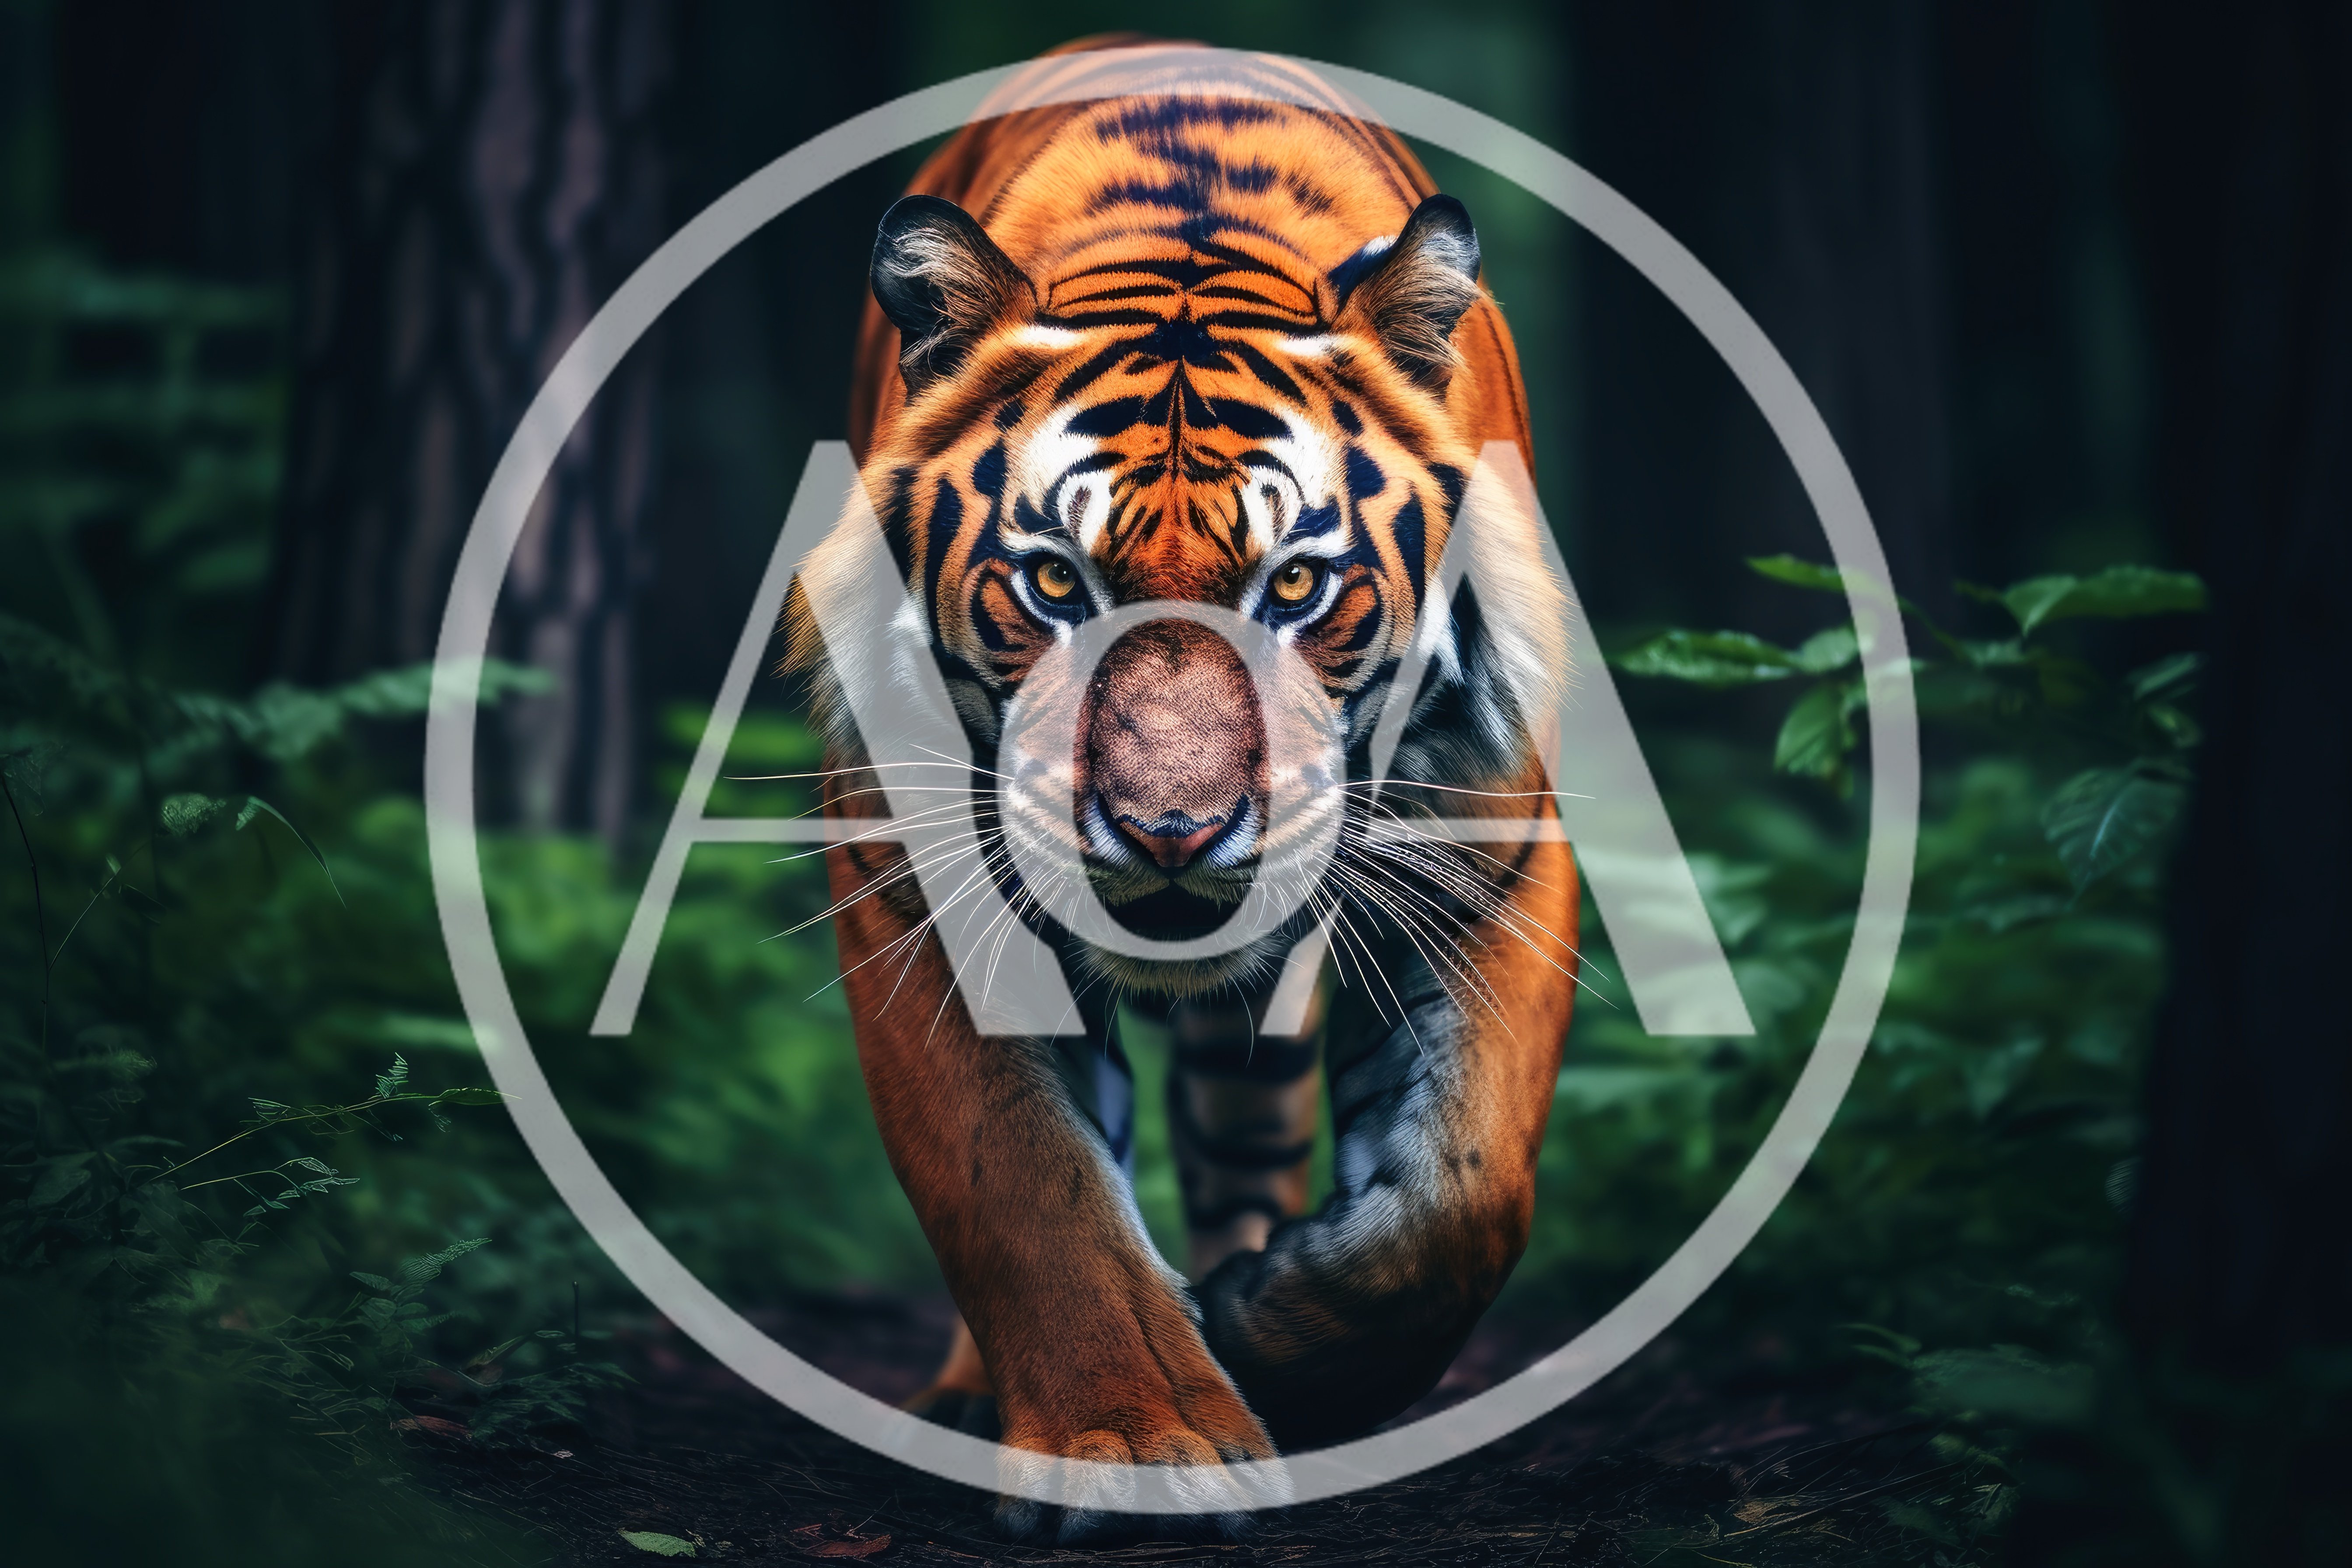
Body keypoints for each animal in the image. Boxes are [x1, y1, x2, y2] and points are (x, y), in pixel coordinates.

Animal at [786, 40, 1580, 1537]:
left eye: (1297, 586)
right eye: (1054, 584)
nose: (1171, 833)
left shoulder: (1489, 848)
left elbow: (1466, 1192)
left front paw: (1272, 1333)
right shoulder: (910, 881)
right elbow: (1026, 1189)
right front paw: (1136, 1446)